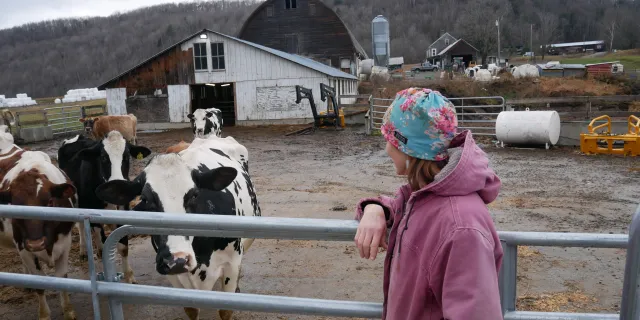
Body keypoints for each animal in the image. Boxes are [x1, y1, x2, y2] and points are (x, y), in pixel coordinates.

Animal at [57, 130, 152, 282]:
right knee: (81, 225)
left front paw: (129, 276)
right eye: (103, 157)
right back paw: (83, 251)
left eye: (126, 156)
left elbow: (123, 246)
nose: (117, 182)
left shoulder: (123, 209)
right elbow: (102, 242)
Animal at [94, 136, 258, 320]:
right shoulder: (174, 275)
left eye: (194, 195)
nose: (177, 259)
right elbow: (191, 309)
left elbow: (225, 310)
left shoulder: (232, 264)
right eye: (145, 199)